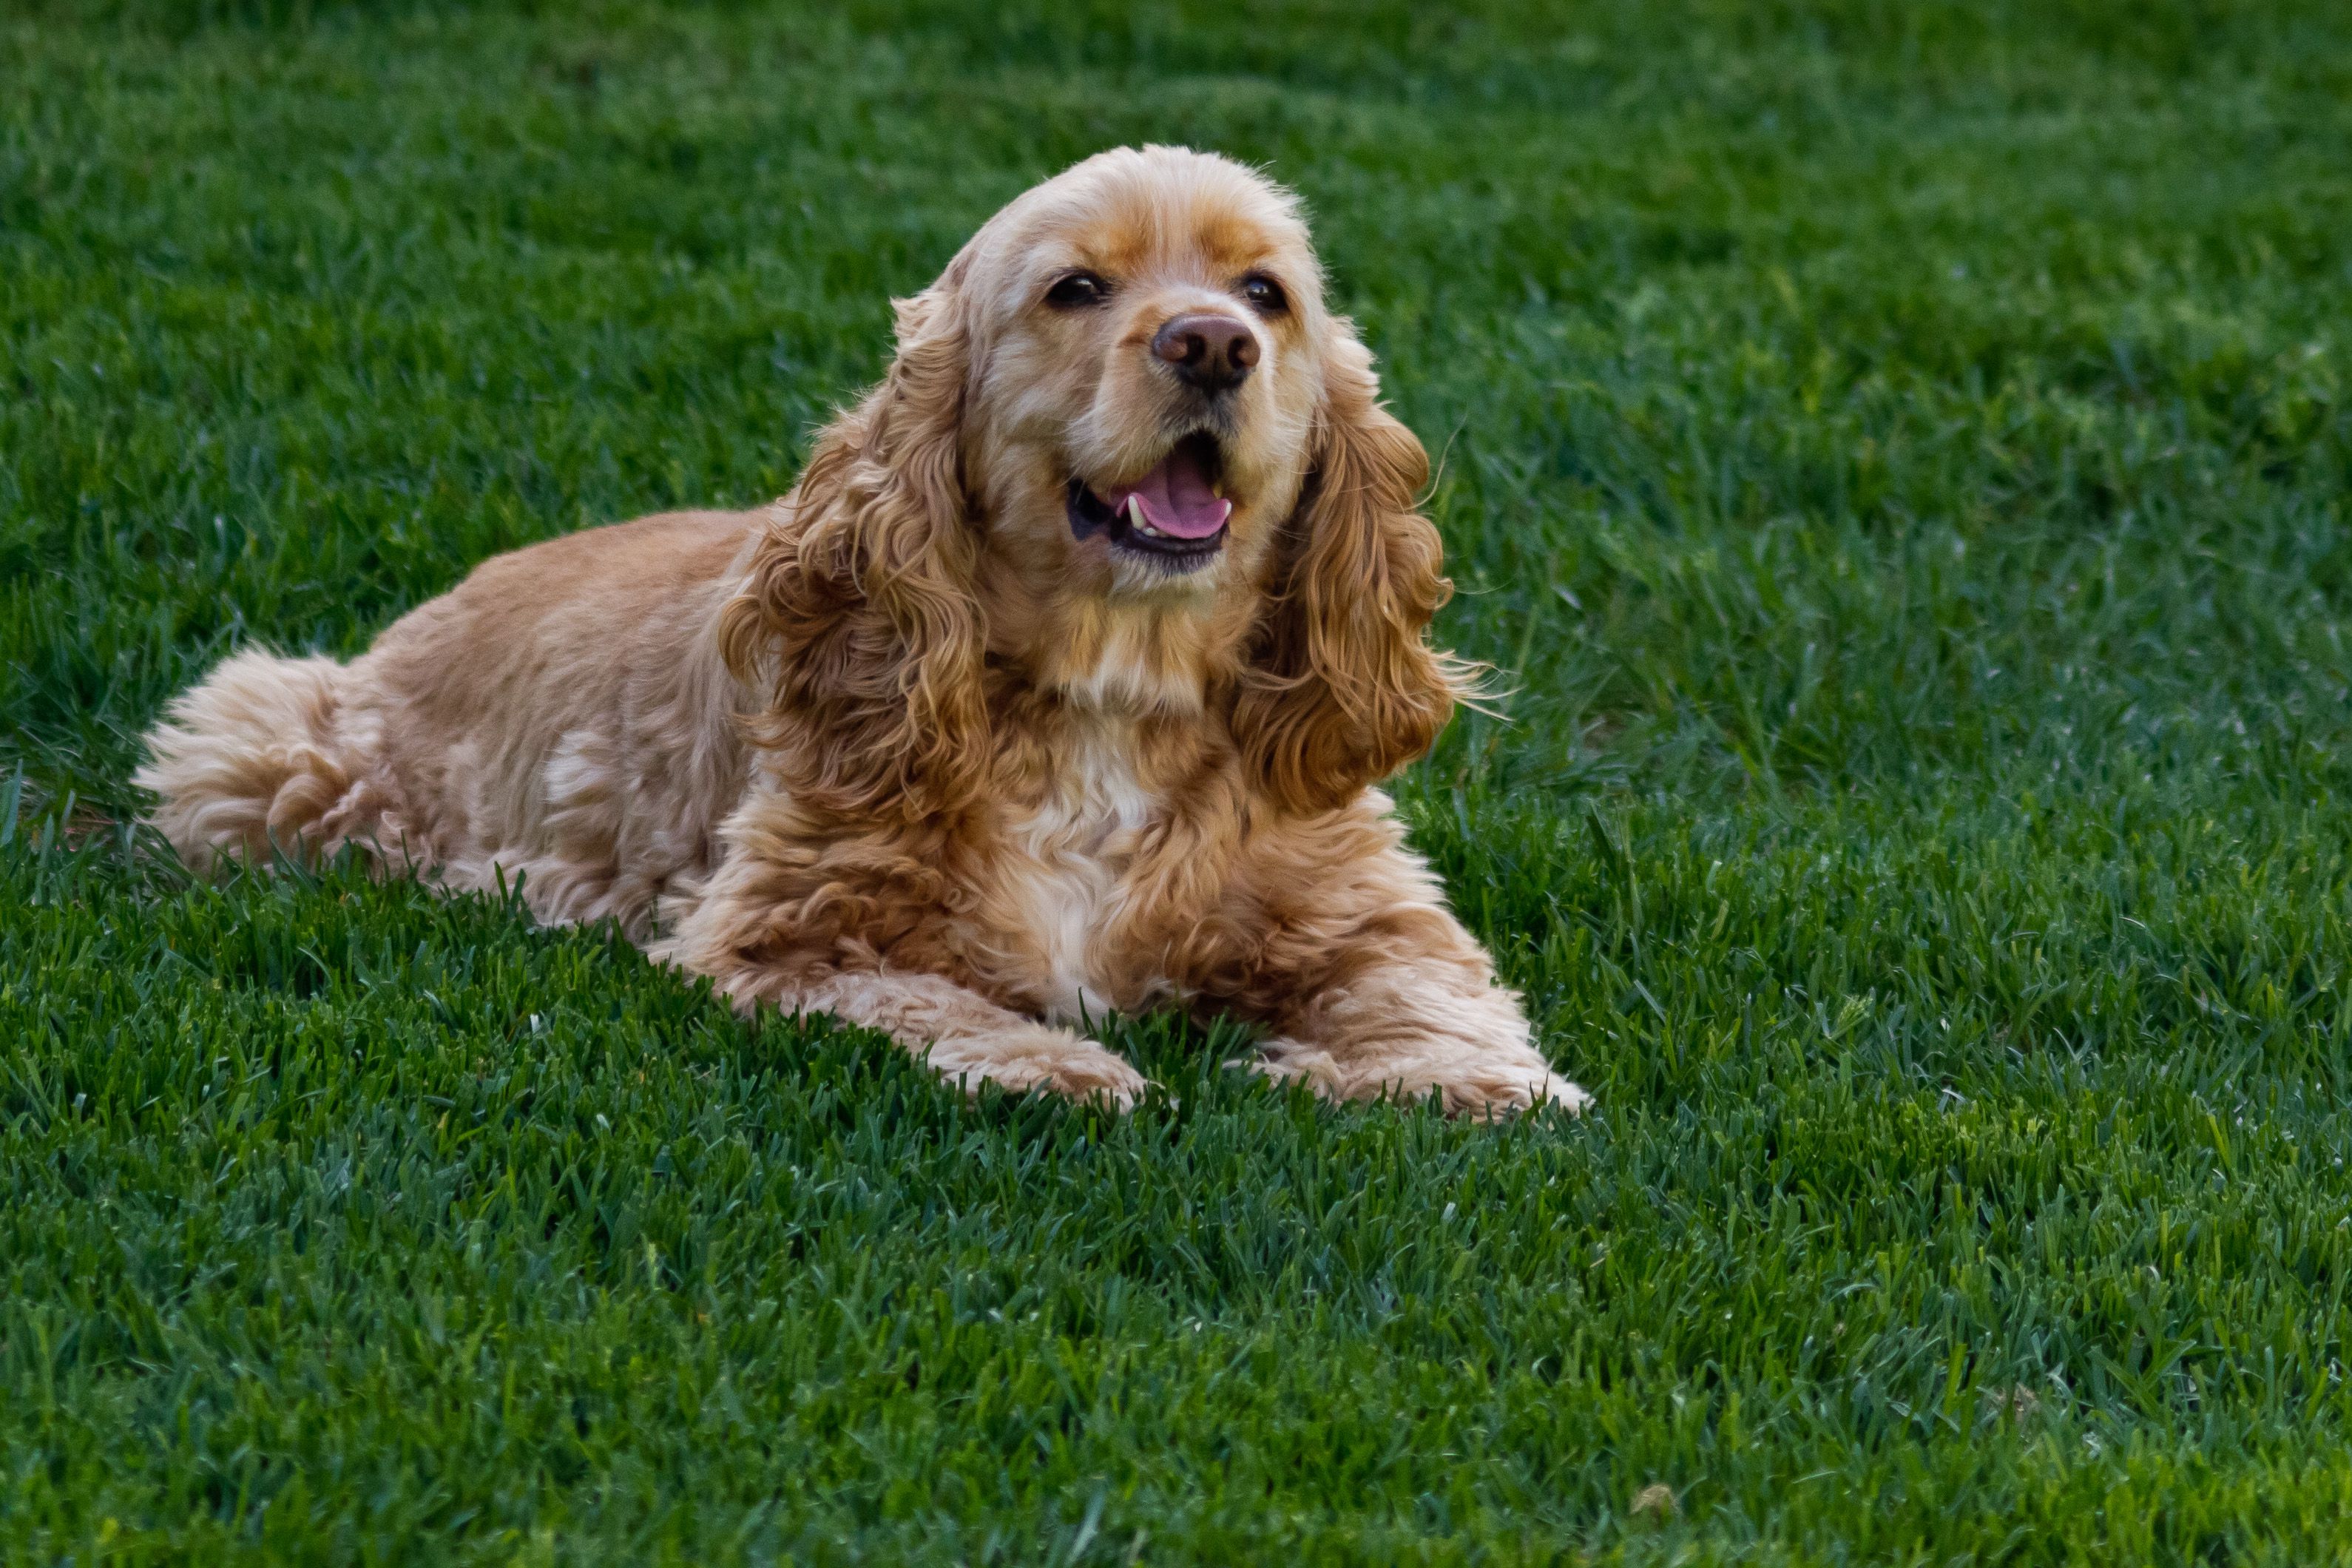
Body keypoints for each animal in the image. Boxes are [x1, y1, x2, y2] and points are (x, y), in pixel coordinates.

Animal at [138, 146, 1589, 1114]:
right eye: (1076, 289)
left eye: (1267, 292)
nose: (1211, 345)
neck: (1112, 692)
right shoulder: (785, 930)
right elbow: (930, 999)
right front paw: (1067, 1065)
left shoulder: (1367, 909)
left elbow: (1442, 1000)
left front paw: (1448, 1083)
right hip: (271, 754)